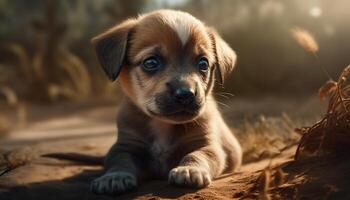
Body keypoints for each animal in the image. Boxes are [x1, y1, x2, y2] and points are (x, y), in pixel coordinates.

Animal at [89, 9, 241, 195]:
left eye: (203, 64)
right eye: (151, 62)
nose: (186, 94)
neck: (163, 125)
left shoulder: (209, 146)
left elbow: (197, 155)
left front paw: (190, 169)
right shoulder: (124, 146)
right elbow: (120, 161)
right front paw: (114, 176)